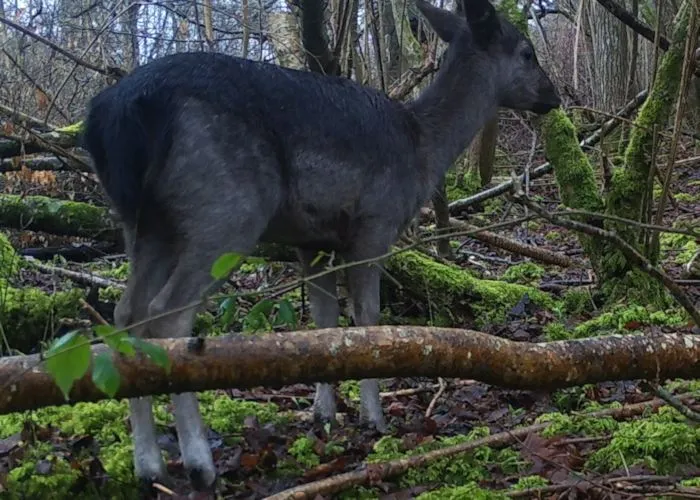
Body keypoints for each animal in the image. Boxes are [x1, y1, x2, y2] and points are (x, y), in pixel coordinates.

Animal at [81, 0, 560, 492]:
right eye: (526, 52)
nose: (554, 95)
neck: (423, 149)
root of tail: (116, 115)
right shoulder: (376, 223)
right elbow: (367, 319)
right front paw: (374, 418)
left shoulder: (310, 240)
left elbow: (324, 323)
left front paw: (324, 415)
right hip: (226, 208)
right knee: (169, 315)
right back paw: (199, 464)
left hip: (144, 223)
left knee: (127, 315)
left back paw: (149, 467)